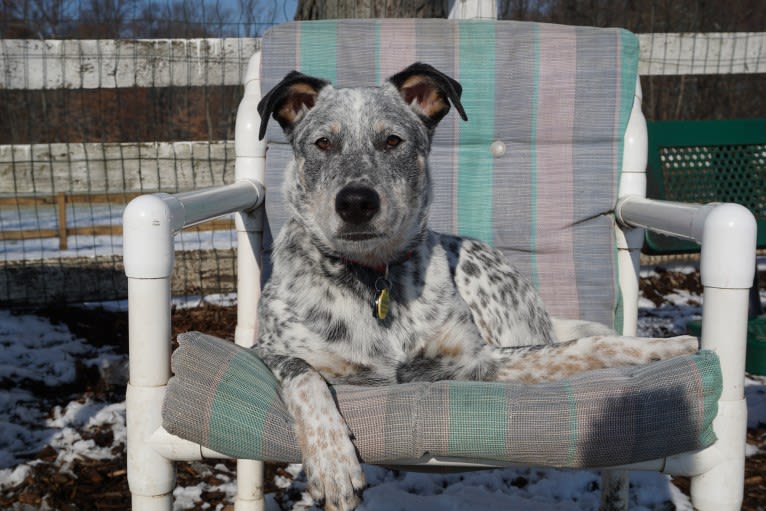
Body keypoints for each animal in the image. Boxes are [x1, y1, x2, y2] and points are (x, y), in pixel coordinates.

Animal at [254, 63, 704, 511]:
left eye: (393, 140)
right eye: (323, 143)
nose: (356, 202)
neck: (373, 276)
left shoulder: (475, 362)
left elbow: (587, 347)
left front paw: (664, 347)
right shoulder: (264, 351)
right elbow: (305, 374)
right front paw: (332, 462)